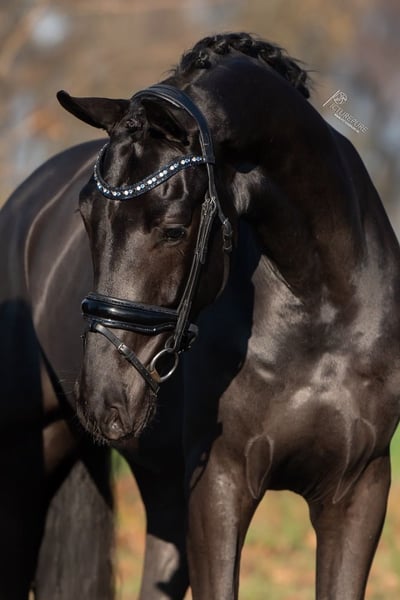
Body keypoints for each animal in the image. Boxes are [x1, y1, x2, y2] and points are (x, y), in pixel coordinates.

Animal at [1, 32, 399, 599]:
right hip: (23, 466)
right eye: (85, 214)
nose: (102, 398)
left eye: (172, 227)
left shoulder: (358, 491)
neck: (321, 307)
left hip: (164, 489)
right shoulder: (219, 488)